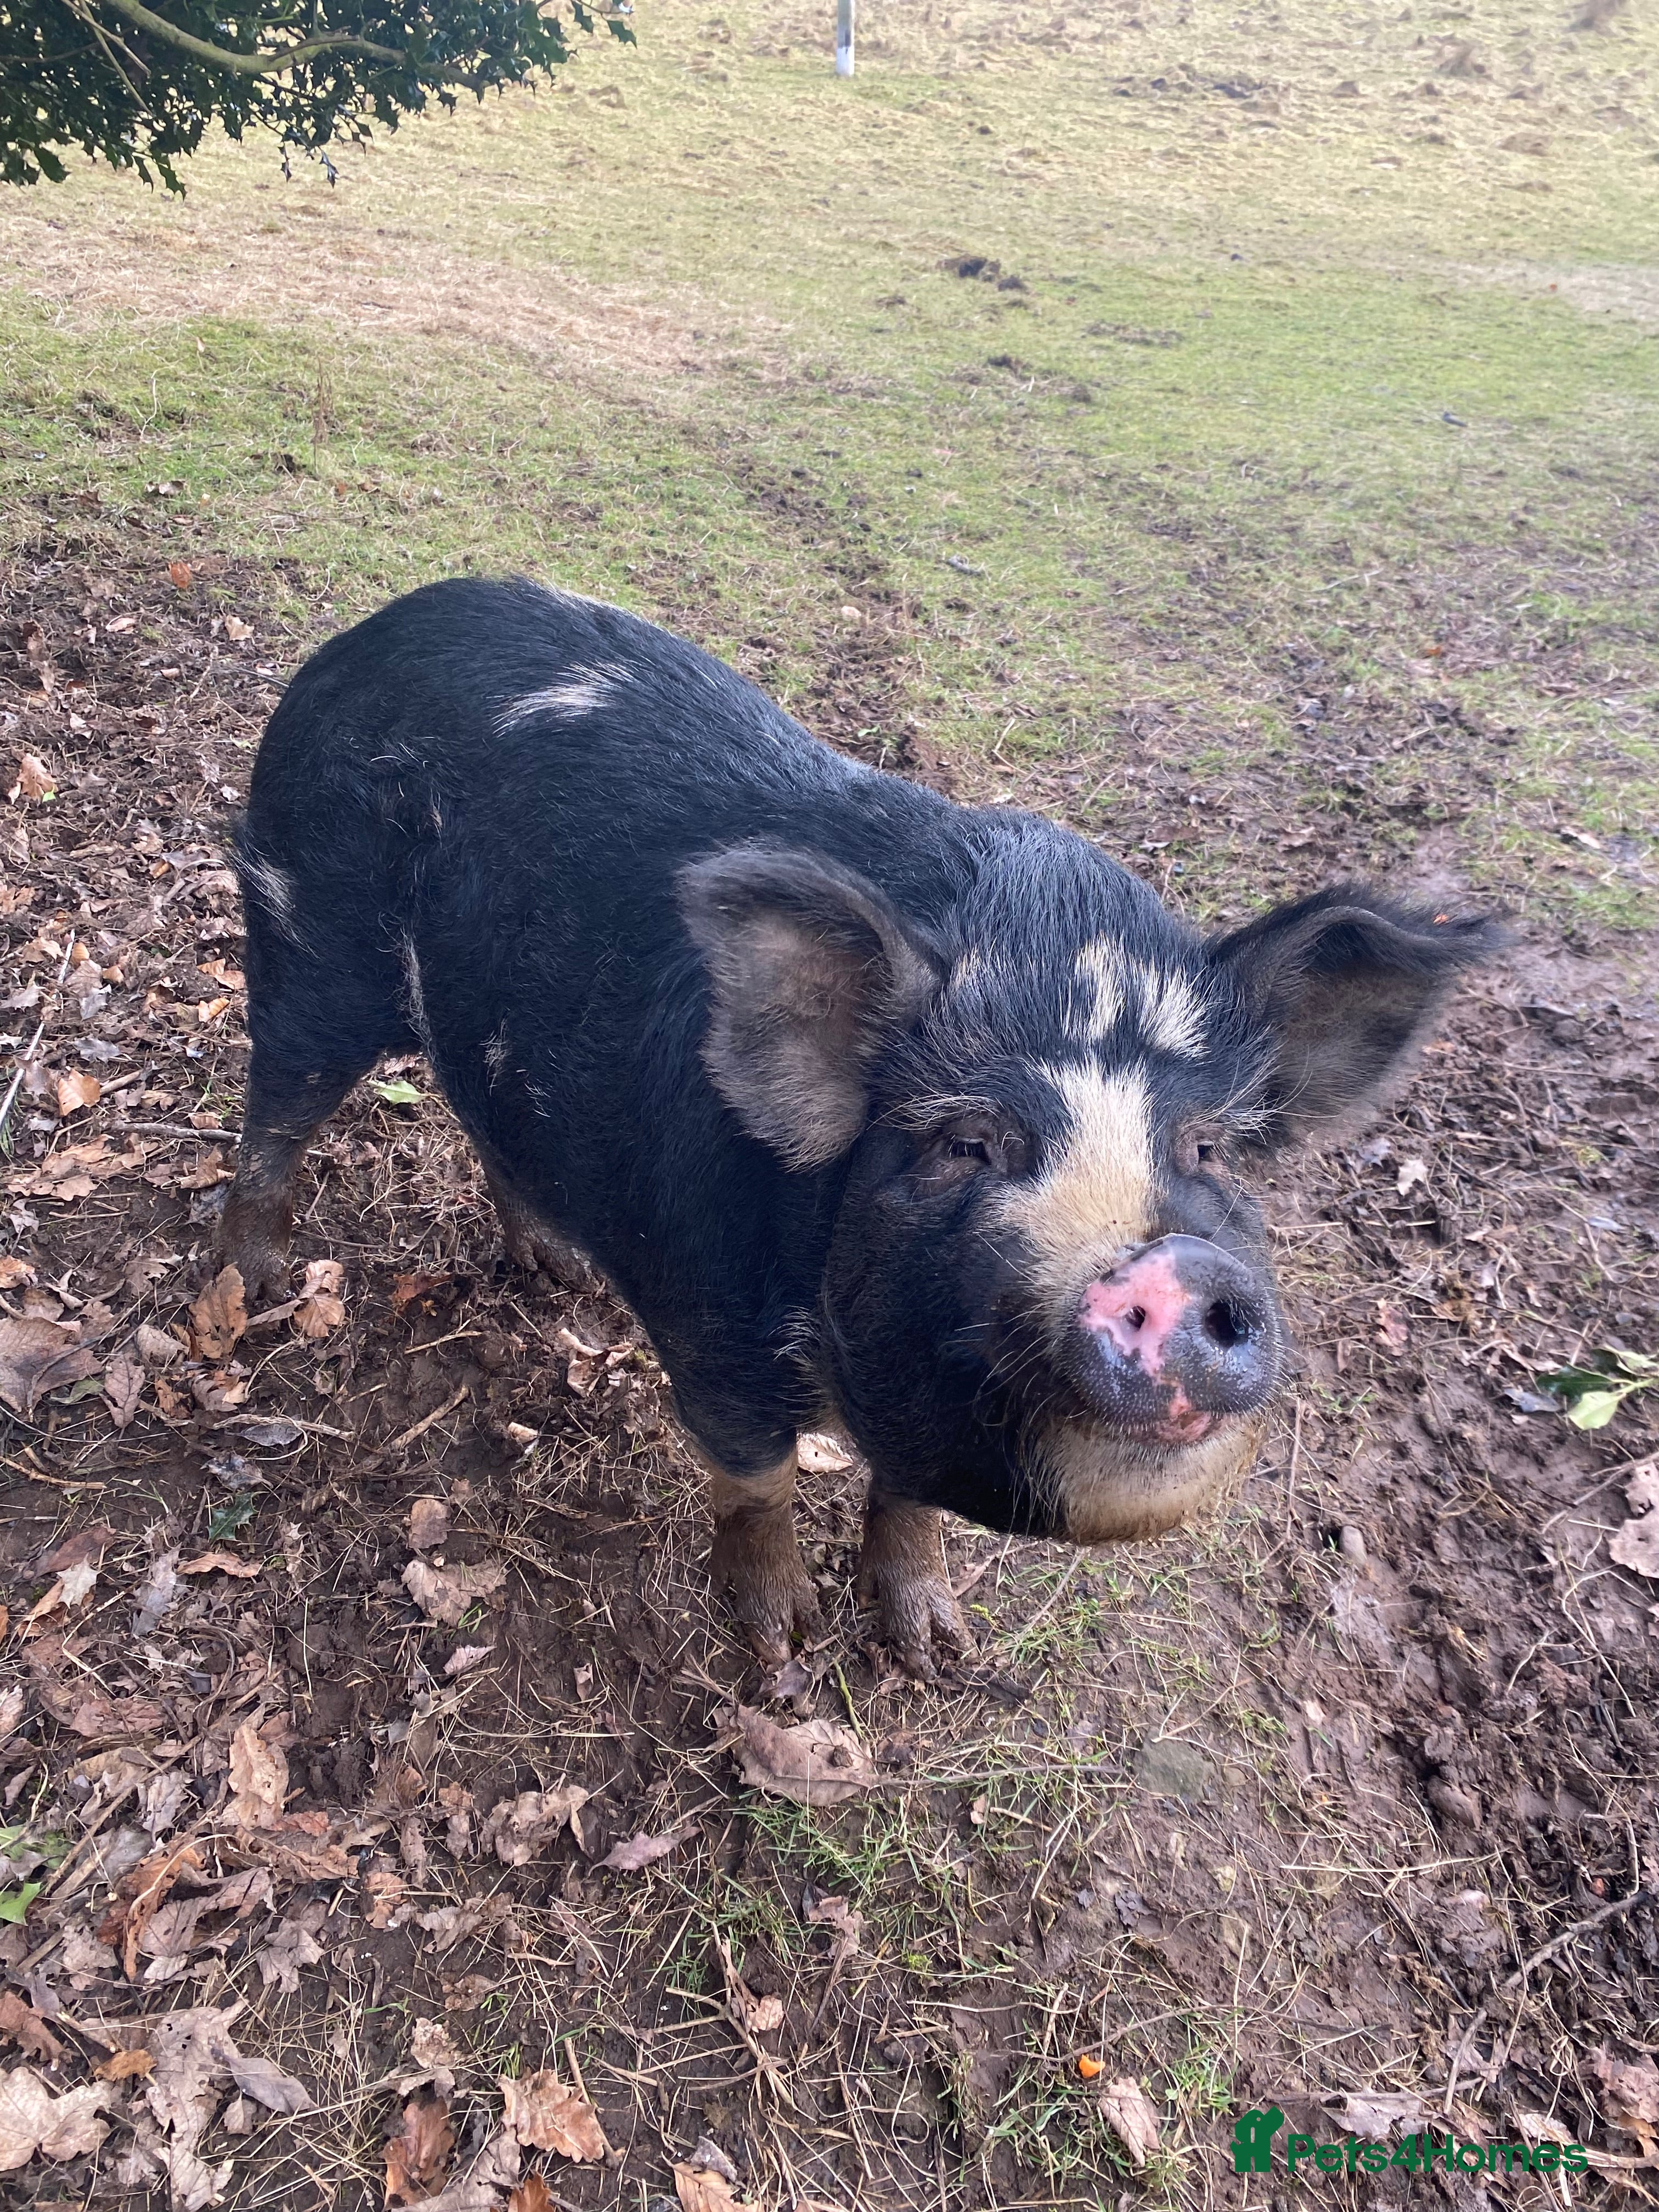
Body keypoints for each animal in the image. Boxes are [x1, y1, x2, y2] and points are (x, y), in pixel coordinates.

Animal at [219, 577, 1499, 1675]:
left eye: (1207, 1148)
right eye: (964, 1142)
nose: (1172, 1264)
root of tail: (365, 635)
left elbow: (910, 1501)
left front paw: (939, 1654)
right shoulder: (710, 1323)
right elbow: (759, 1481)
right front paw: (779, 1648)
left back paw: (558, 1277)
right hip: (306, 934)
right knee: (274, 1111)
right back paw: (251, 1296)